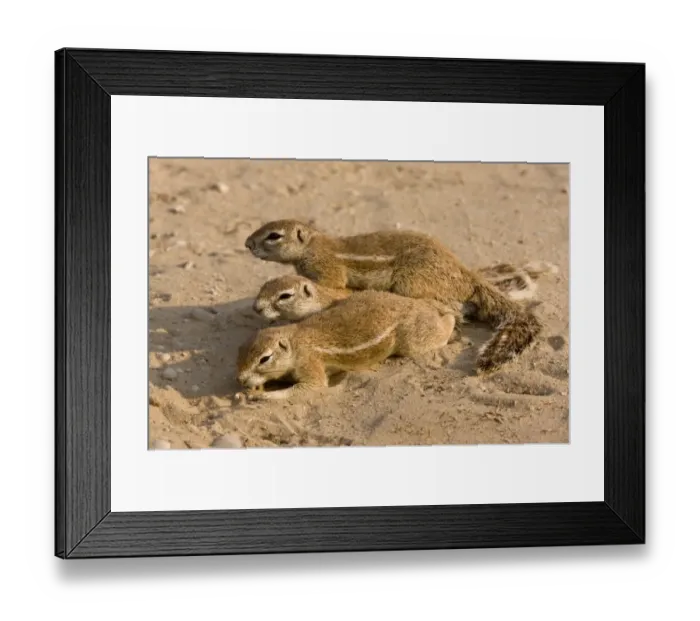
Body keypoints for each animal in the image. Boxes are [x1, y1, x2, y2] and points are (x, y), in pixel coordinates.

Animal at [235, 290, 457, 402]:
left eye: (265, 358)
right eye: (238, 353)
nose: (240, 379)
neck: (295, 340)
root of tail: (417, 304)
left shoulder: (310, 363)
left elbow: (311, 387)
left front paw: (262, 396)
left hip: (413, 339)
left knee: (443, 327)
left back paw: (450, 316)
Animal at [245, 220, 546, 374]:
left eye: (274, 236)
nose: (247, 243)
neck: (315, 244)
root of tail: (465, 273)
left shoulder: (327, 270)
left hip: (412, 283)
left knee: (454, 310)